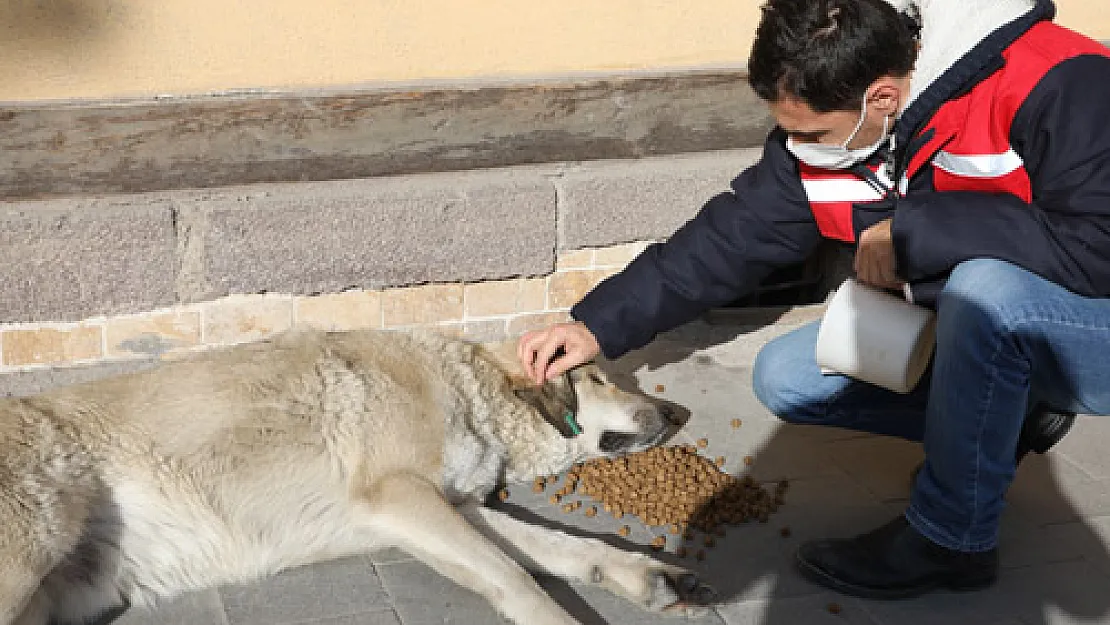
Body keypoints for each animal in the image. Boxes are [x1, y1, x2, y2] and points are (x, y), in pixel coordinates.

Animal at [0, 328, 710, 625]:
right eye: (598, 379)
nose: (680, 413)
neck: (470, 386)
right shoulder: (400, 497)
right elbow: (516, 576)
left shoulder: (449, 509)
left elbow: (558, 547)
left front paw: (641, 575)